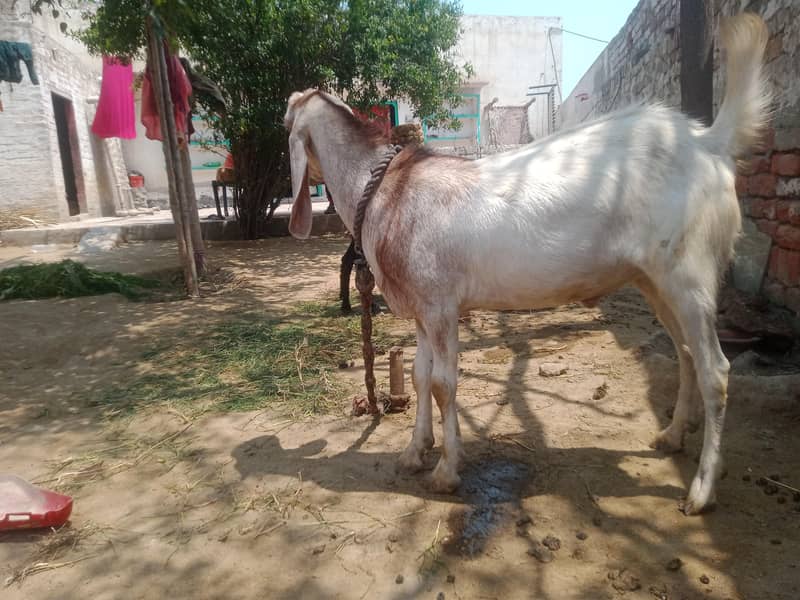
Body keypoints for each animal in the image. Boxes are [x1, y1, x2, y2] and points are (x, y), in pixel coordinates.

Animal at [284, 14, 771, 515]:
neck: (387, 190)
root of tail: (706, 142)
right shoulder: (422, 307)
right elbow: (419, 378)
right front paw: (415, 452)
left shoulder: (441, 306)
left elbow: (442, 383)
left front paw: (446, 470)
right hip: (654, 281)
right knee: (686, 351)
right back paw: (672, 436)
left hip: (689, 274)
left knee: (716, 370)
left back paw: (702, 489)